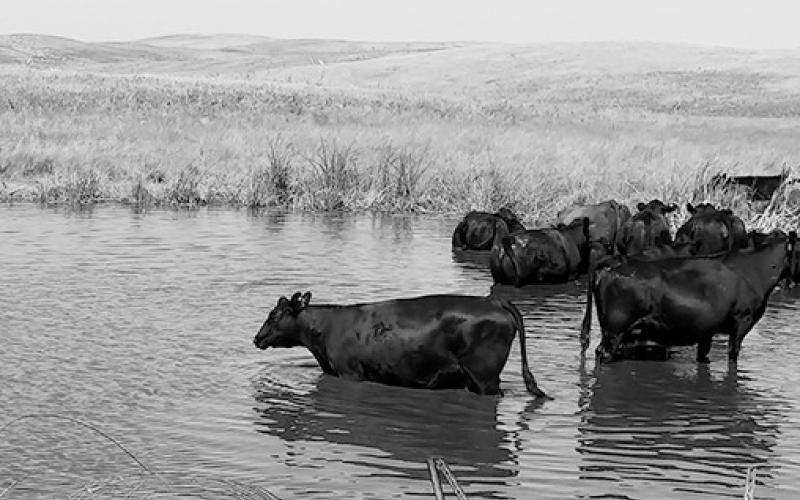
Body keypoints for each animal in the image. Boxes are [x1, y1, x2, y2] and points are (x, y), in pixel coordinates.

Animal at [580, 230, 797, 364]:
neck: (755, 270)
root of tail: (611, 262)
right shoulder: (742, 321)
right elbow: (732, 355)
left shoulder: (706, 330)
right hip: (614, 329)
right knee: (602, 353)